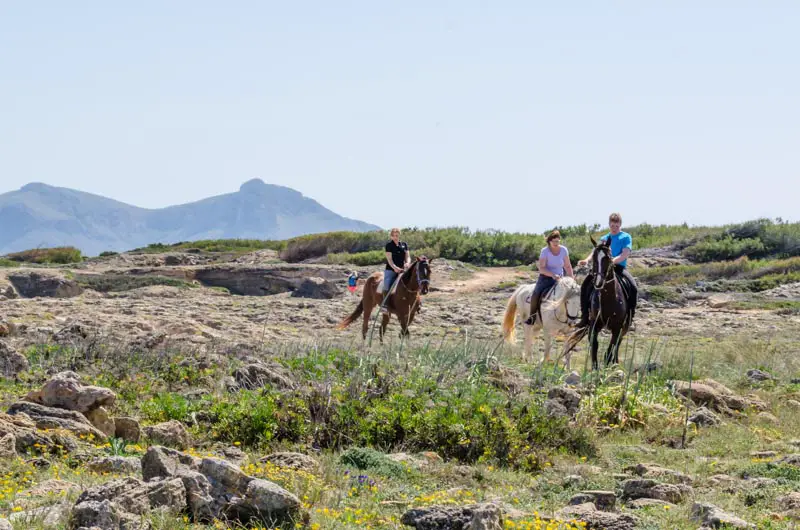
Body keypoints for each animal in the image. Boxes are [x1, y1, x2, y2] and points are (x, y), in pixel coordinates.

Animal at [564, 237, 632, 370]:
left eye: (608, 257)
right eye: (594, 258)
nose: (599, 283)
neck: (608, 299)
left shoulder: (617, 327)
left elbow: (611, 347)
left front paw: (607, 366)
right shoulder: (594, 325)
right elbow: (594, 345)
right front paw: (595, 369)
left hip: (624, 327)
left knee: (617, 344)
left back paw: (615, 363)